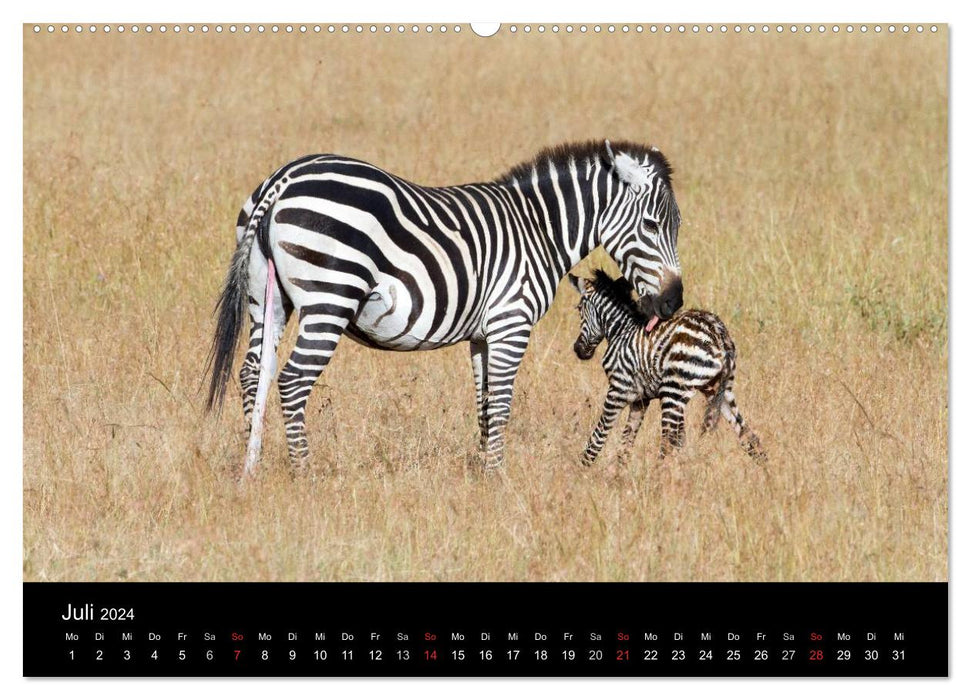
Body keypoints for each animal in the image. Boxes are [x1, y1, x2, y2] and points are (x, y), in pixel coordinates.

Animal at [207, 139, 684, 474]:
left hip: (267, 299)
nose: (674, 301)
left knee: (253, 373)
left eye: (677, 227)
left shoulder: (482, 335)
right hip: (330, 297)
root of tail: (284, 180)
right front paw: (497, 477)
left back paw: (255, 463)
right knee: (292, 380)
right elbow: (503, 401)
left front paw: (483, 470)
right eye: (651, 225)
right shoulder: (511, 323)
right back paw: (302, 472)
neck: (538, 230)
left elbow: (485, 403)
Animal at [568, 270, 768, 468]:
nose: (578, 350)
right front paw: (619, 472)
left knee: (667, 443)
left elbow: (599, 435)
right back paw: (766, 473)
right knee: (750, 438)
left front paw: (583, 470)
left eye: (579, 308)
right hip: (720, 391)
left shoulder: (618, 390)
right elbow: (627, 441)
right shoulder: (640, 400)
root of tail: (718, 333)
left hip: (673, 390)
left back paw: (657, 475)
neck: (622, 331)